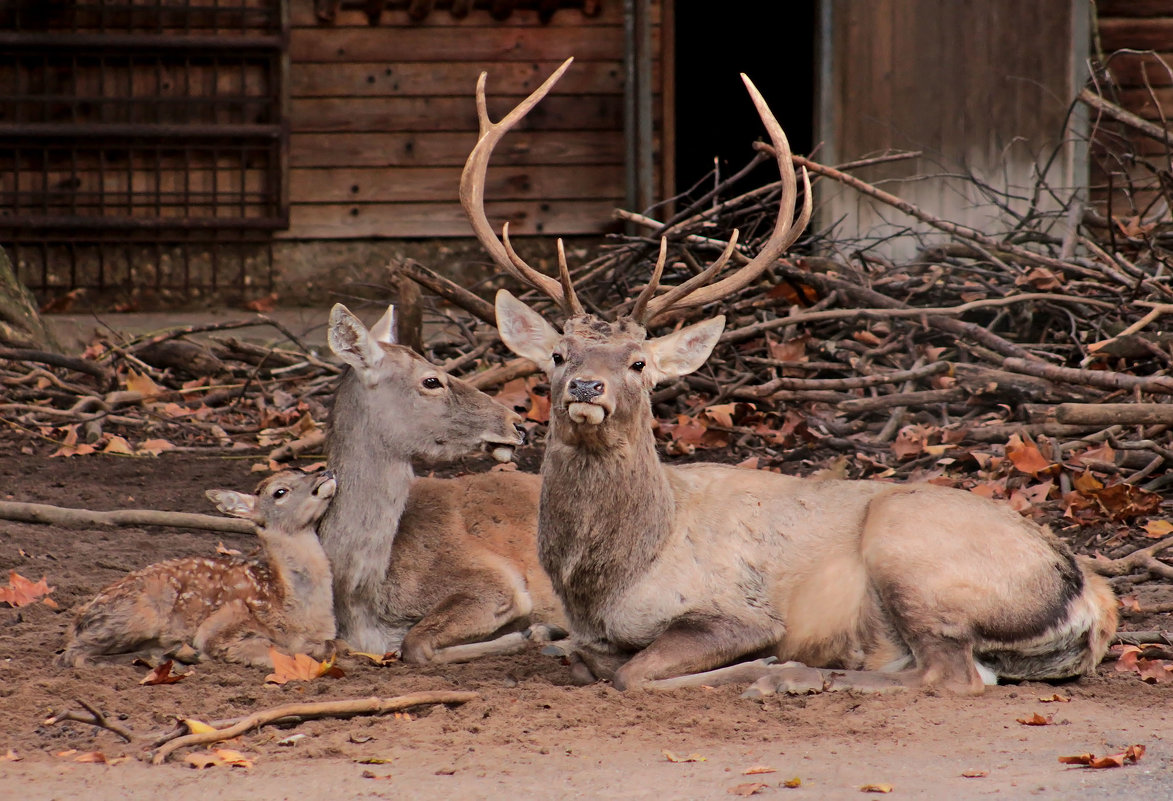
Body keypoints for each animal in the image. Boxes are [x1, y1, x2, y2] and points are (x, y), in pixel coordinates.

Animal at [57, 469, 337, 670]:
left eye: (299, 469)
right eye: (280, 491)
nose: (326, 472)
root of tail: (77, 621)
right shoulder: (224, 622)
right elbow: (278, 652)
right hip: (139, 614)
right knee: (71, 654)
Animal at [462, 58, 1112, 694]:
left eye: (638, 362)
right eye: (559, 355)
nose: (586, 387)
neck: (609, 583)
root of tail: (1091, 598)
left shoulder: (736, 610)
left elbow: (632, 674)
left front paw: (757, 666)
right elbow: (581, 658)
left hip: (911, 549)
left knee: (950, 676)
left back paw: (793, 676)